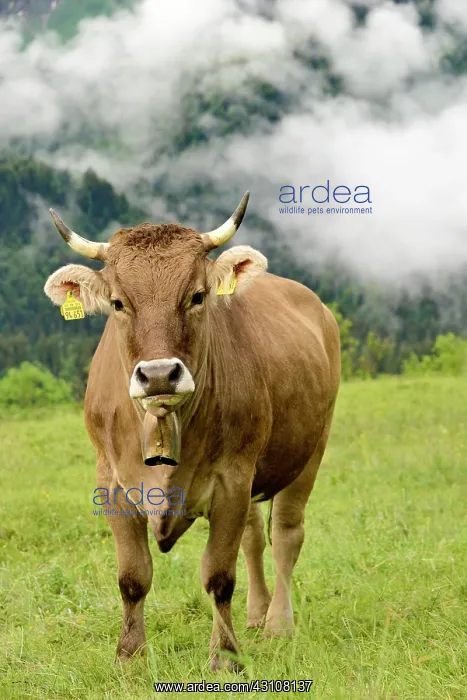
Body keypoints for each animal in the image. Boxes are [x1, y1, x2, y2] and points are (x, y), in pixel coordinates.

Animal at [43, 192, 340, 670]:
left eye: (198, 296)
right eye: (118, 303)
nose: (159, 375)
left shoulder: (232, 481)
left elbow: (219, 575)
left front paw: (225, 657)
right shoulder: (111, 484)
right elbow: (132, 576)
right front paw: (129, 657)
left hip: (311, 450)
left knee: (285, 536)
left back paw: (278, 623)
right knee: (254, 538)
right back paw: (256, 615)